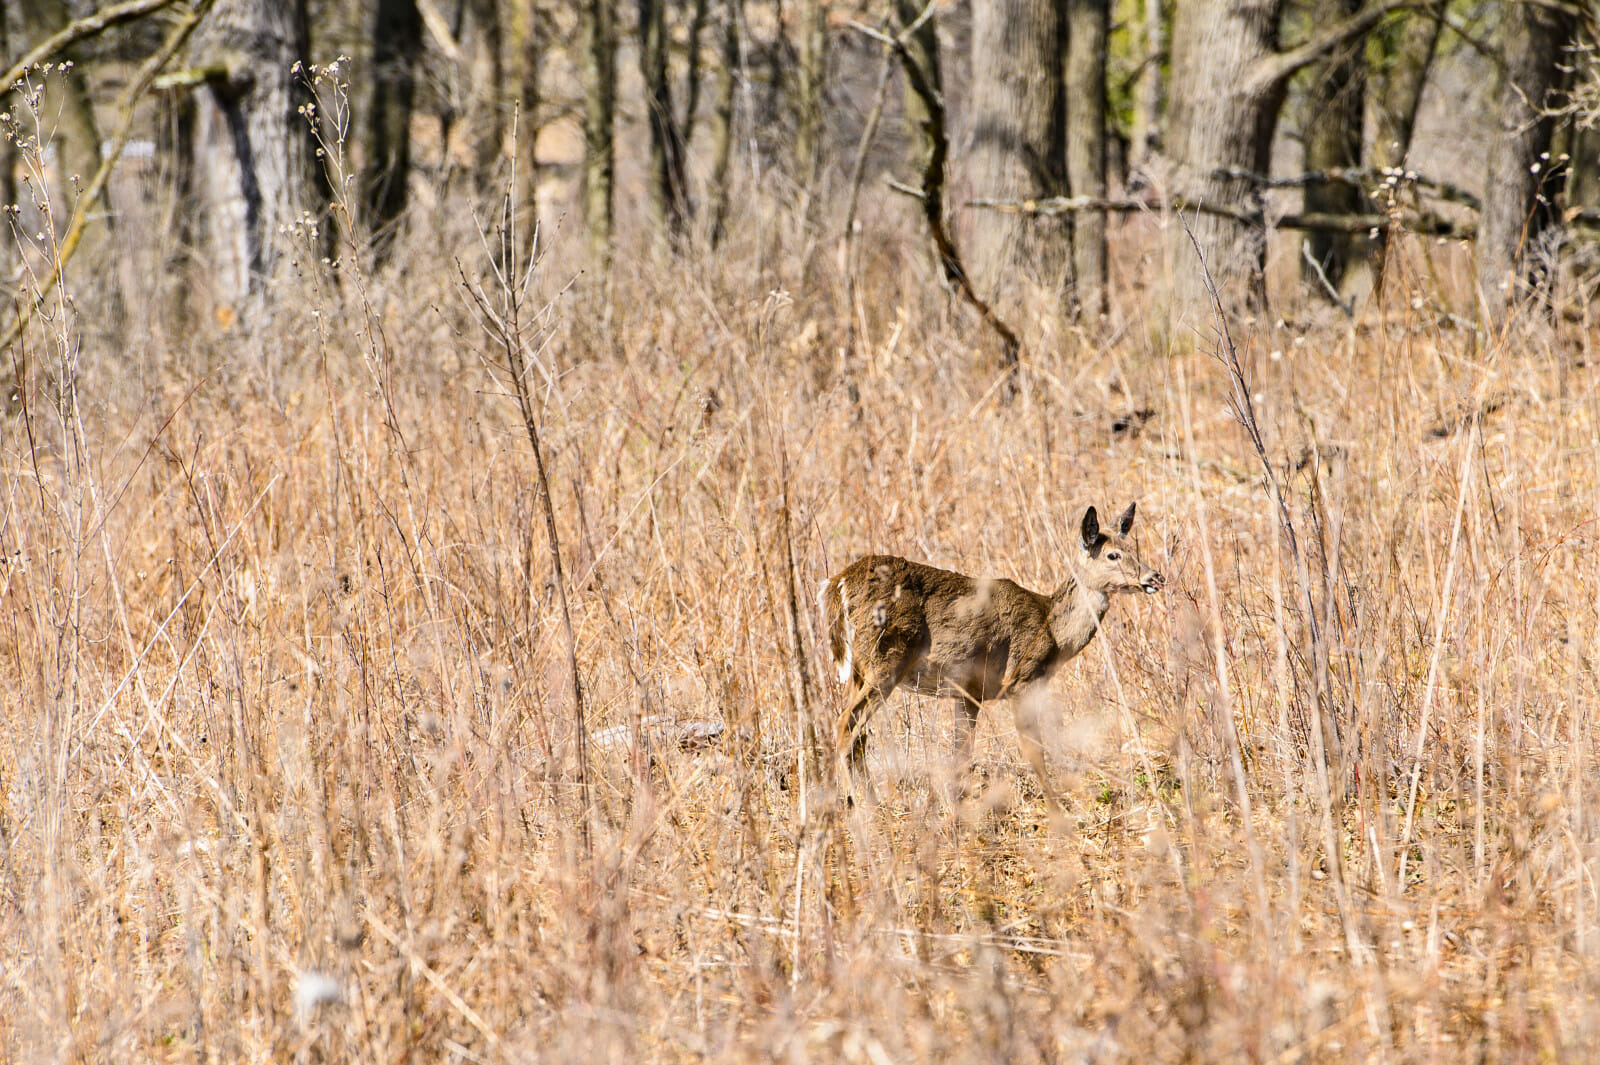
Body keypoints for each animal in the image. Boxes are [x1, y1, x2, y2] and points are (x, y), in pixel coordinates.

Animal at [825, 502, 1164, 809]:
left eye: (1132, 548)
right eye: (1112, 555)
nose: (1155, 577)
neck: (1052, 630)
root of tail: (838, 583)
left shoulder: (968, 692)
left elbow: (961, 753)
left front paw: (954, 807)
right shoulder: (1021, 680)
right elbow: (1033, 749)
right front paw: (1056, 806)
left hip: (859, 669)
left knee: (859, 735)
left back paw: (873, 801)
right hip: (886, 660)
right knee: (845, 726)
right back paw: (856, 803)